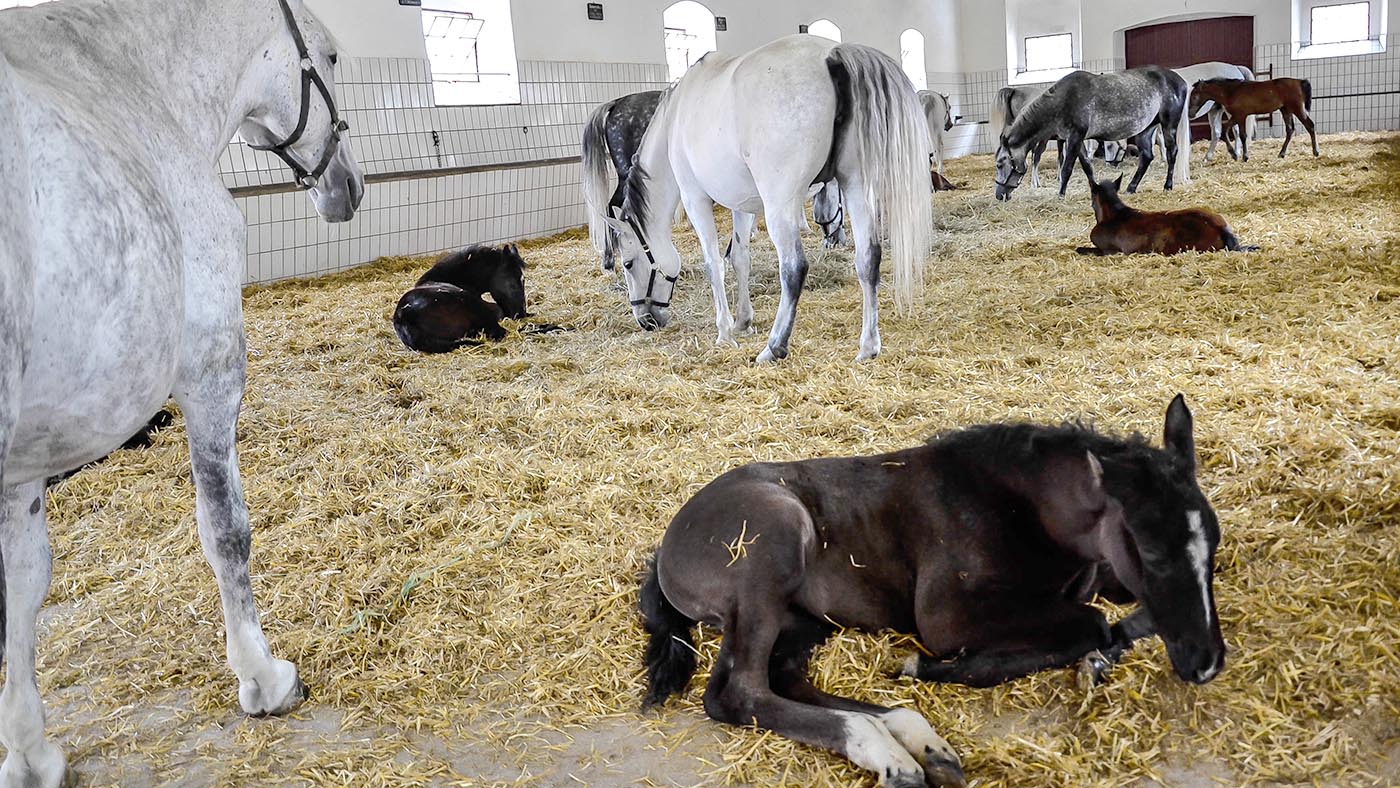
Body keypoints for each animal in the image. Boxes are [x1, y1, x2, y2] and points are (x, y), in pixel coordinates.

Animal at [0, 0, 362, 783]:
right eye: (330, 57)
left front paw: (30, 750)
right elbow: (226, 528)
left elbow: (23, 582)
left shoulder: (21, 463)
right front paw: (262, 678)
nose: (348, 187)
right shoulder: (210, 365)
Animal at [600, 35, 931, 363]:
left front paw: (724, 333)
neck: (675, 120)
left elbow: (713, 264)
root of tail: (834, 53)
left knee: (794, 267)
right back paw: (868, 347)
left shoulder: (696, 200)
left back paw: (775, 347)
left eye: (628, 263)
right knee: (868, 259)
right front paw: (743, 322)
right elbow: (739, 258)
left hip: (781, 204)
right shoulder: (741, 203)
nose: (646, 320)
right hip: (856, 187)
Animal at [640, 396, 1224, 788]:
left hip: (800, 620)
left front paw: (1100, 661)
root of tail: (668, 543)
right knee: (739, 692)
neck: (1020, 508)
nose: (1207, 662)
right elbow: (1091, 621)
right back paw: (889, 753)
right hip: (772, 548)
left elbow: (1121, 616)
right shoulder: (948, 617)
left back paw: (917, 742)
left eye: (1213, 542)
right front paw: (934, 666)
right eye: (1152, 552)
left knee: (781, 679)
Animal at [994, 67, 1189, 201]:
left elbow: (1067, 168)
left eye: (1000, 164)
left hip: (1168, 125)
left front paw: (1060, 195)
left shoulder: (1074, 138)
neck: (1064, 100)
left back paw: (1168, 185)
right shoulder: (1076, 140)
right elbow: (1087, 166)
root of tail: (1181, 81)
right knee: (1147, 157)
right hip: (1146, 129)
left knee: (1172, 153)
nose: (999, 195)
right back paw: (1131, 187)